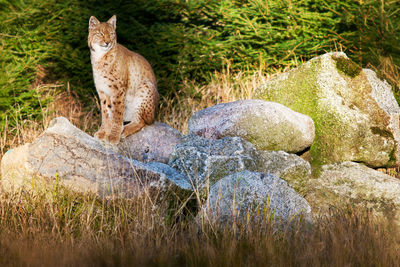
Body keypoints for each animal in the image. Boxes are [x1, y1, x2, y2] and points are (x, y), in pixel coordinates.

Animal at [88, 14, 159, 144]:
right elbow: (105, 112)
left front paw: (113, 136)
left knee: (142, 121)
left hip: (145, 85)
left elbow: (117, 113)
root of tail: (155, 116)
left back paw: (124, 130)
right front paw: (103, 132)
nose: (107, 42)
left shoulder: (118, 90)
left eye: (111, 34)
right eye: (100, 33)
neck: (100, 57)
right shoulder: (102, 90)